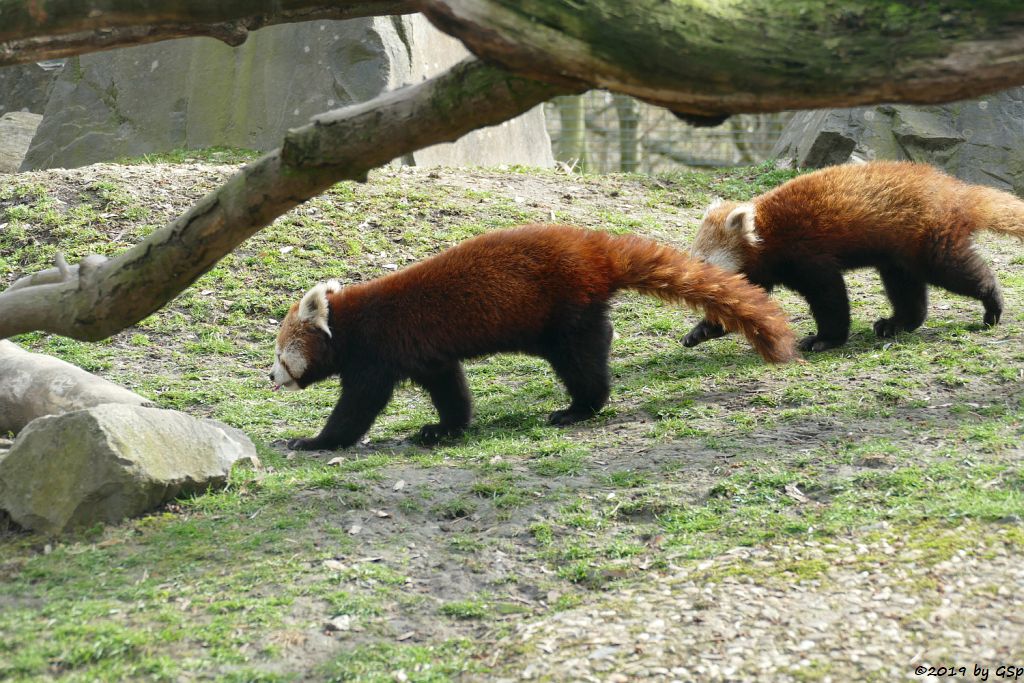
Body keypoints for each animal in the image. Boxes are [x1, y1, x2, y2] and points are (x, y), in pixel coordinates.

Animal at [272, 222, 798, 450]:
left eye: (280, 355)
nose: (271, 377)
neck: (351, 321)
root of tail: (595, 249)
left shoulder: (377, 351)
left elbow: (358, 406)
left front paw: (315, 441)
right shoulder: (426, 355)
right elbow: (449, 388)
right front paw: (445, 428)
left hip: (562, 310)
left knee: (582, 358)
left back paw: (579, 407)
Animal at [684, 160, 1024, 352]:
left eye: (704, 262)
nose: (694, 283)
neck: (767, 233)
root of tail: (954, 190)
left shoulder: (807, 254)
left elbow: (830, 298)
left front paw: (824, 339)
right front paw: (702, 331)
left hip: (929, 241)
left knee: (958, 272)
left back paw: (992, 304)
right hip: (898, 254)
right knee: (906, 289)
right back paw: (897, 324)